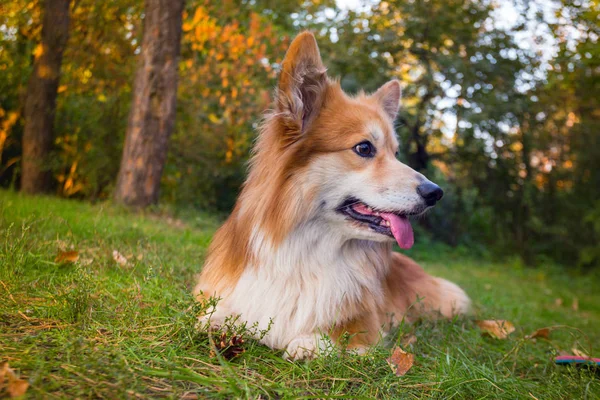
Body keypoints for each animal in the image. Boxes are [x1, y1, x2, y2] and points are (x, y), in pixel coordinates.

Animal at [195, 32, 472, 360]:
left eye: (396, 153)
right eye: (364, 148)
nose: (435, 193)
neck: (305, 252)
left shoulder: (366, 323)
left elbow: (336, 334)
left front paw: (308, 342)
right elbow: (213, 315)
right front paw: (218, 321)